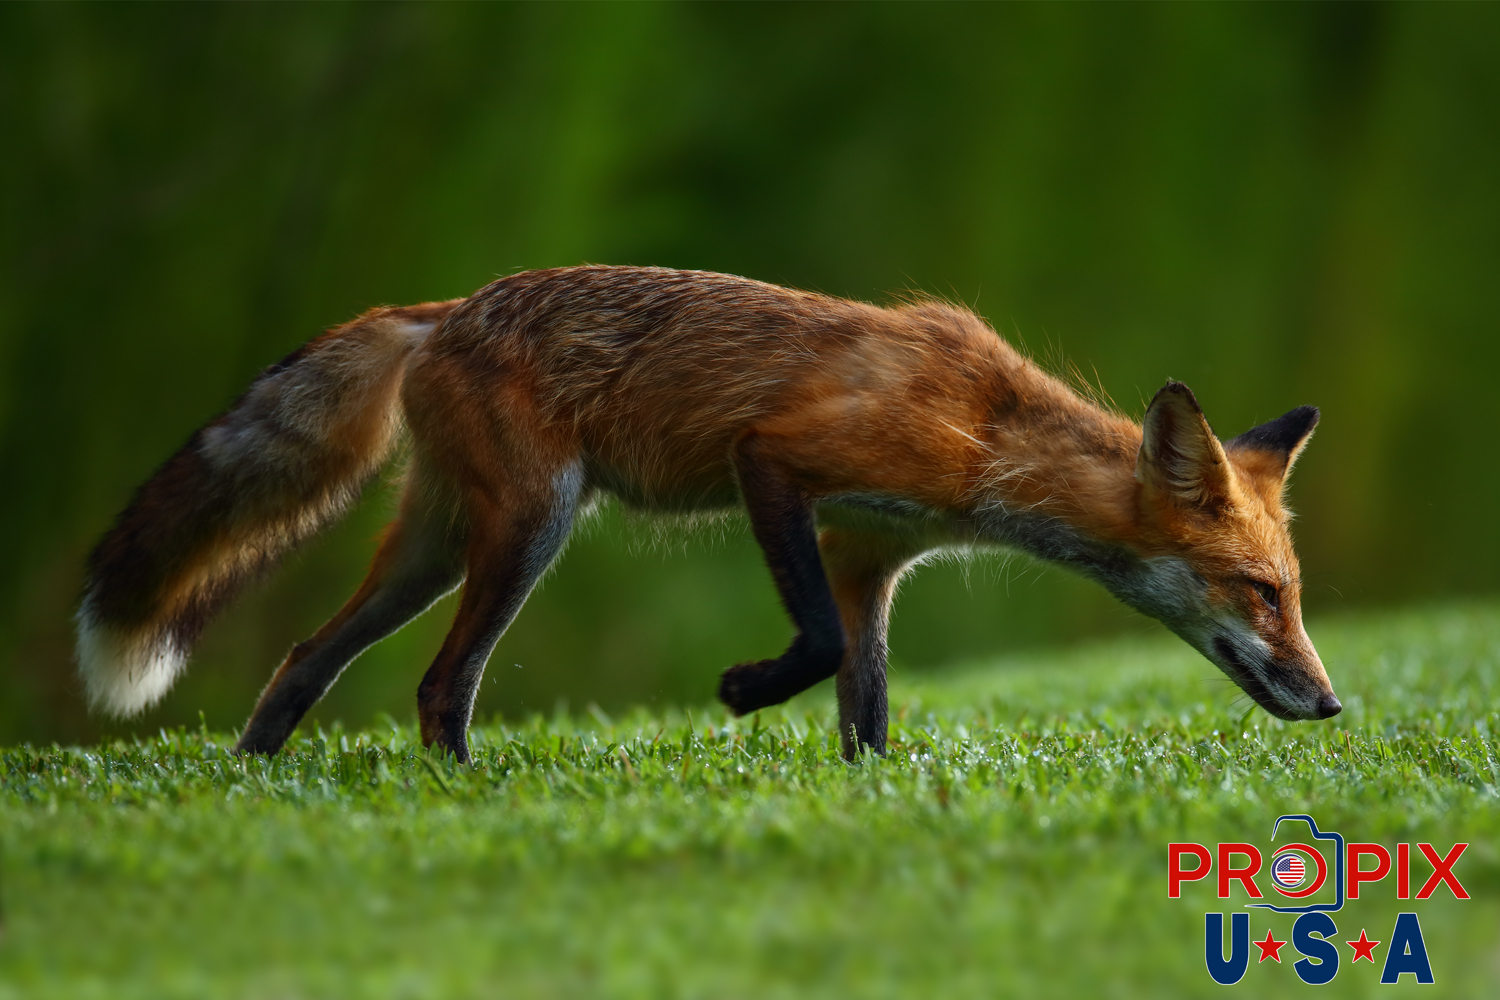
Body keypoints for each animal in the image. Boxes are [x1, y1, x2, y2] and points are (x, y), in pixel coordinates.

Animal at [77, 265, 1339, 762]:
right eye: (1262, 594)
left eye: (1294, 596)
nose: (1331, 703)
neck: (988, 432)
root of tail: (447, 309)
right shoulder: (774, 464)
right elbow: (819, 646)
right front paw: (743, 690)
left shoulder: (870, 552)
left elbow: (867, 707)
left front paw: (867, 794)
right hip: (528, 530)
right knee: (439, 684)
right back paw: (459, 791)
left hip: (432, 551)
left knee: (304, 656)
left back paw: (256, 778)